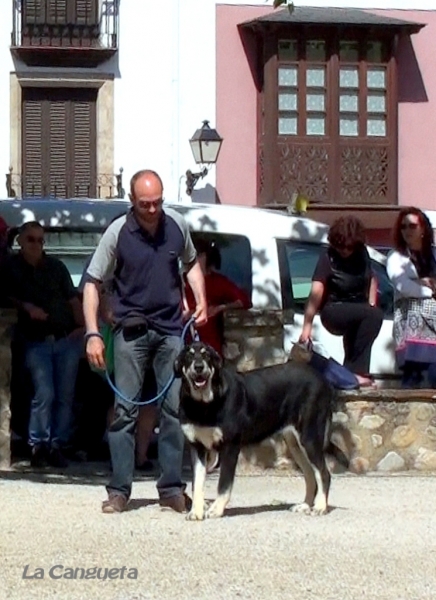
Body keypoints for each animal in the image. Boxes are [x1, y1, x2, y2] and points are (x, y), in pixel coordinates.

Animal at [174, 342, 348, 520]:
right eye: (189, 355)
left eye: (206, 355)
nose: (199, 367)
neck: (203, 404)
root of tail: (323, 380)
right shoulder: (197, 448)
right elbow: (197, 484)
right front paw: (196, 511)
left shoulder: (230, 447)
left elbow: (224, 484)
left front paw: (216, 509)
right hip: (295, 444)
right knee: (311, 475)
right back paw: (305, 505)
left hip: (309, 438)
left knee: (324, 474)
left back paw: (320, 507)